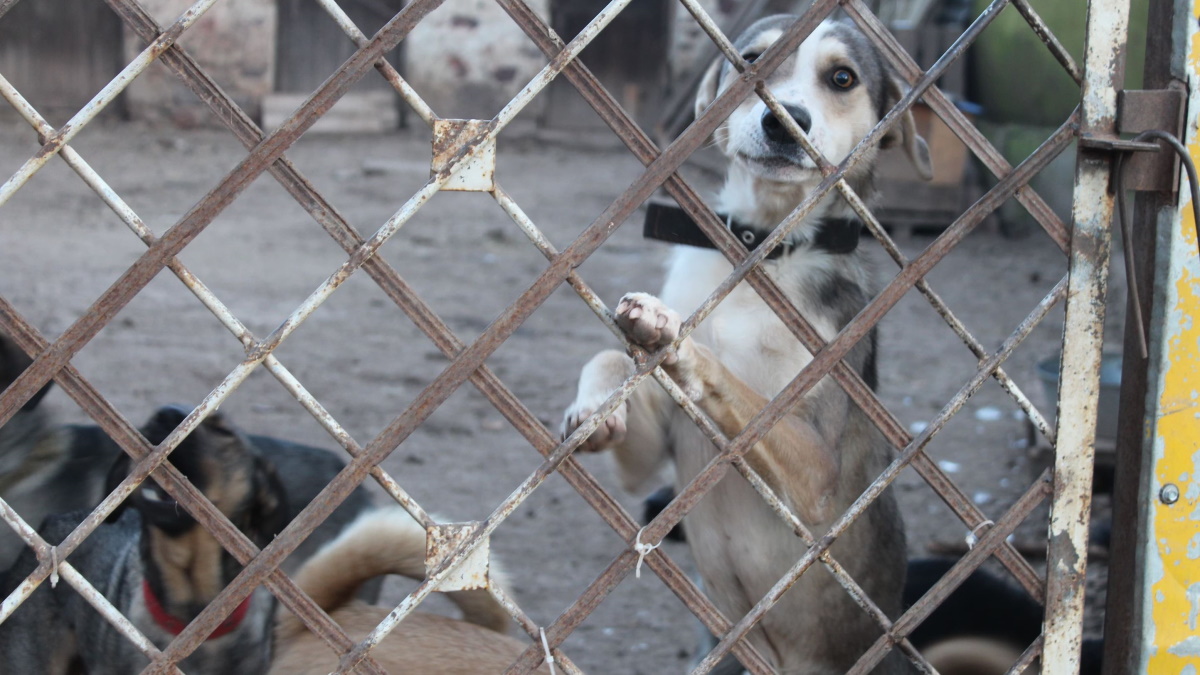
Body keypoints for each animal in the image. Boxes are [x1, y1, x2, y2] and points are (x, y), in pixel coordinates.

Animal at [556, 15, 931, 672]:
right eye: (751, 60)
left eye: (842, 78)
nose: (784, 120)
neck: (764, 251)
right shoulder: (647, 460)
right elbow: (608, 357)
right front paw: (596, 406)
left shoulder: (818, 473)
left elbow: (740, 392)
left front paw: (674, 338)